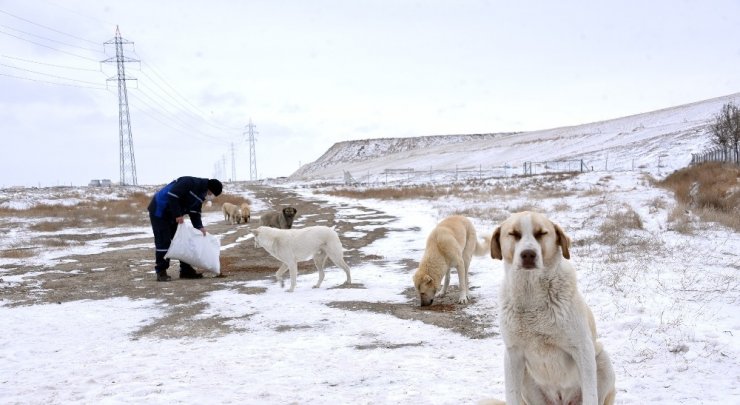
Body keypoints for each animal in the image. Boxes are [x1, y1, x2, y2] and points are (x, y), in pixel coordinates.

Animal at [488, 211, 616, 404]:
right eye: (514, 234)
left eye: (541, 233)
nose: (528, 254)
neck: (531, 294)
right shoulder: (512, 354)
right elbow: (511, 395)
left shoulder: (583, 348)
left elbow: (590, 394)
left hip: (602, 359)